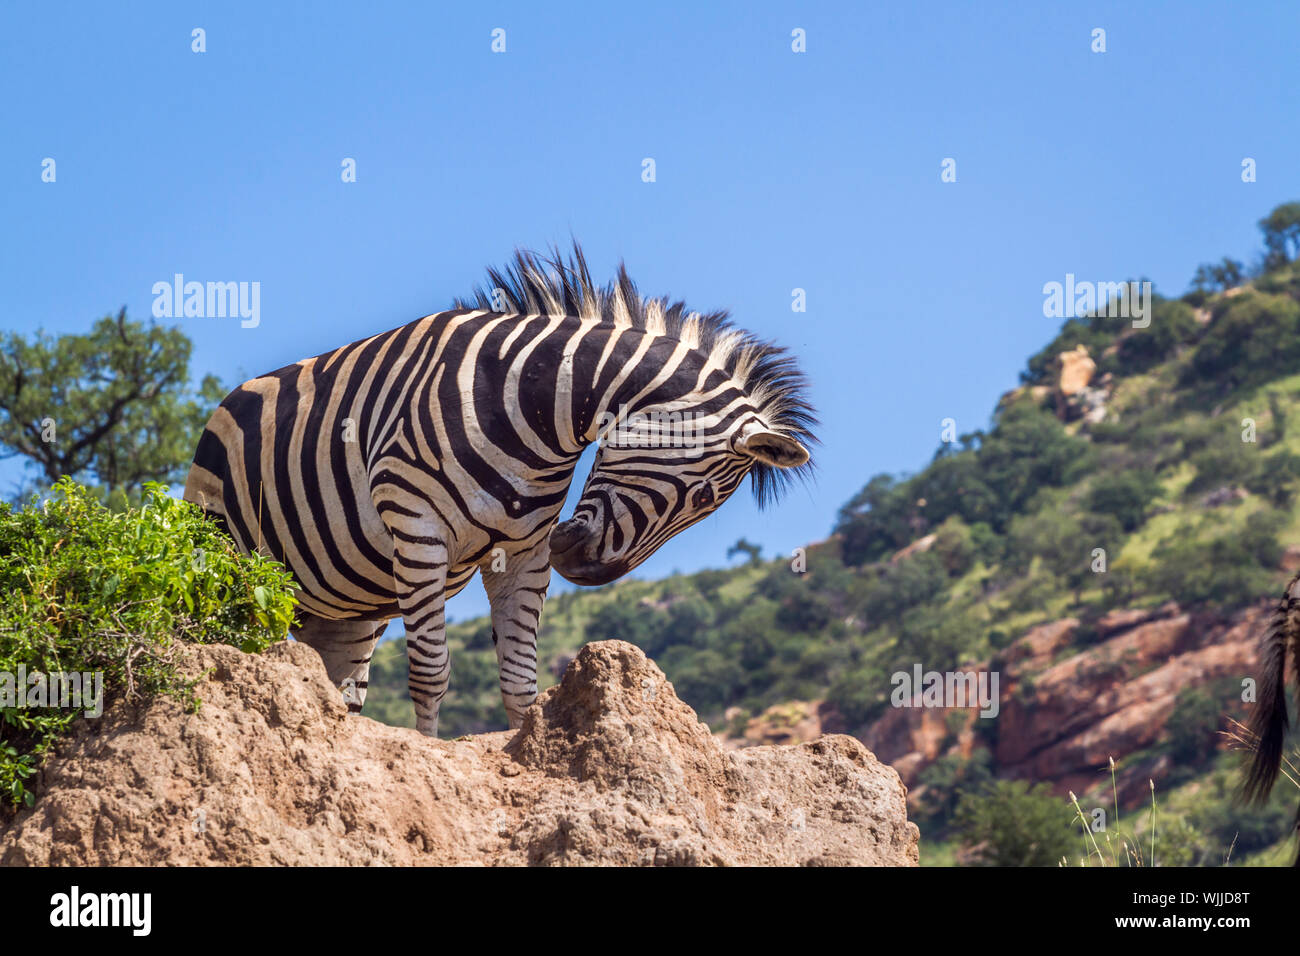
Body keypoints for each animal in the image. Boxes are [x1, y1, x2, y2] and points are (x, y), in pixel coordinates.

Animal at [183, 244, 816, 737]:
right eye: (703, 495)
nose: (587, 571)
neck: (534, 407)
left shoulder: (526, 552)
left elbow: (520, 680)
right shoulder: (416, 526)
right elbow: (432, 672)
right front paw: (430, 756)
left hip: (346, 605)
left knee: (336, 687)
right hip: (228, 561)